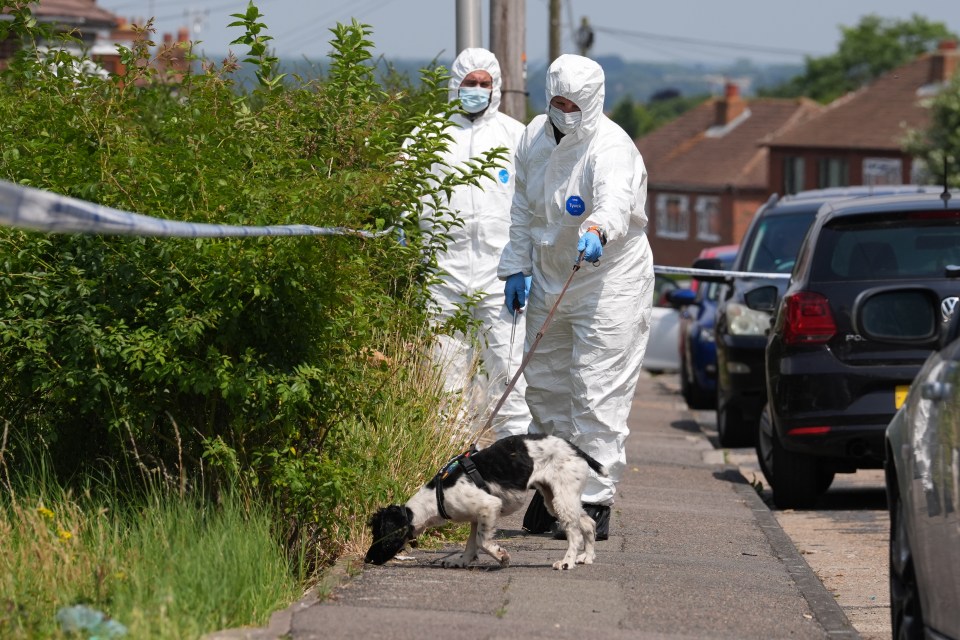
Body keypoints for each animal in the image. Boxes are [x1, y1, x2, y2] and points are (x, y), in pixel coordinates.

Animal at [364, 432, 604, 572]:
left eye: (379, 535)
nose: (367, 559)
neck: (436, 497)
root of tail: (575, 449)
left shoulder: (490, 506)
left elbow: (482, 542)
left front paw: (501, 557)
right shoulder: (476, 516)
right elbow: (471, 543)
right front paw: (461, 561)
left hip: (561, 497)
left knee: (574, 532)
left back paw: (567, 562)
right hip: (555, 499)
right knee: (588, 523)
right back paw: (587, 557)